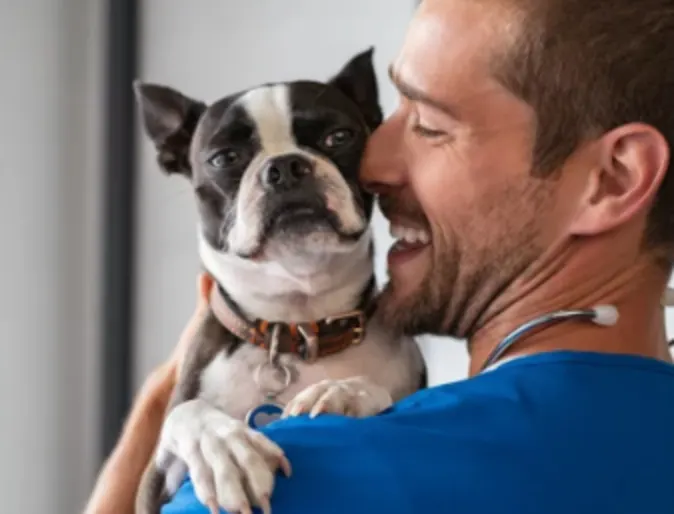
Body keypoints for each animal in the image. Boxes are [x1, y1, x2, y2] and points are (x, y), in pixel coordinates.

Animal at [132, 48, 426, 512]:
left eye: (339, 137)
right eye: (225, 158)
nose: (286, 166)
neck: (297, 324)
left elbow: (379, 391)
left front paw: (343, 392)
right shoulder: (152, 484)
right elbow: (187, 413)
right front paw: (224, 449)